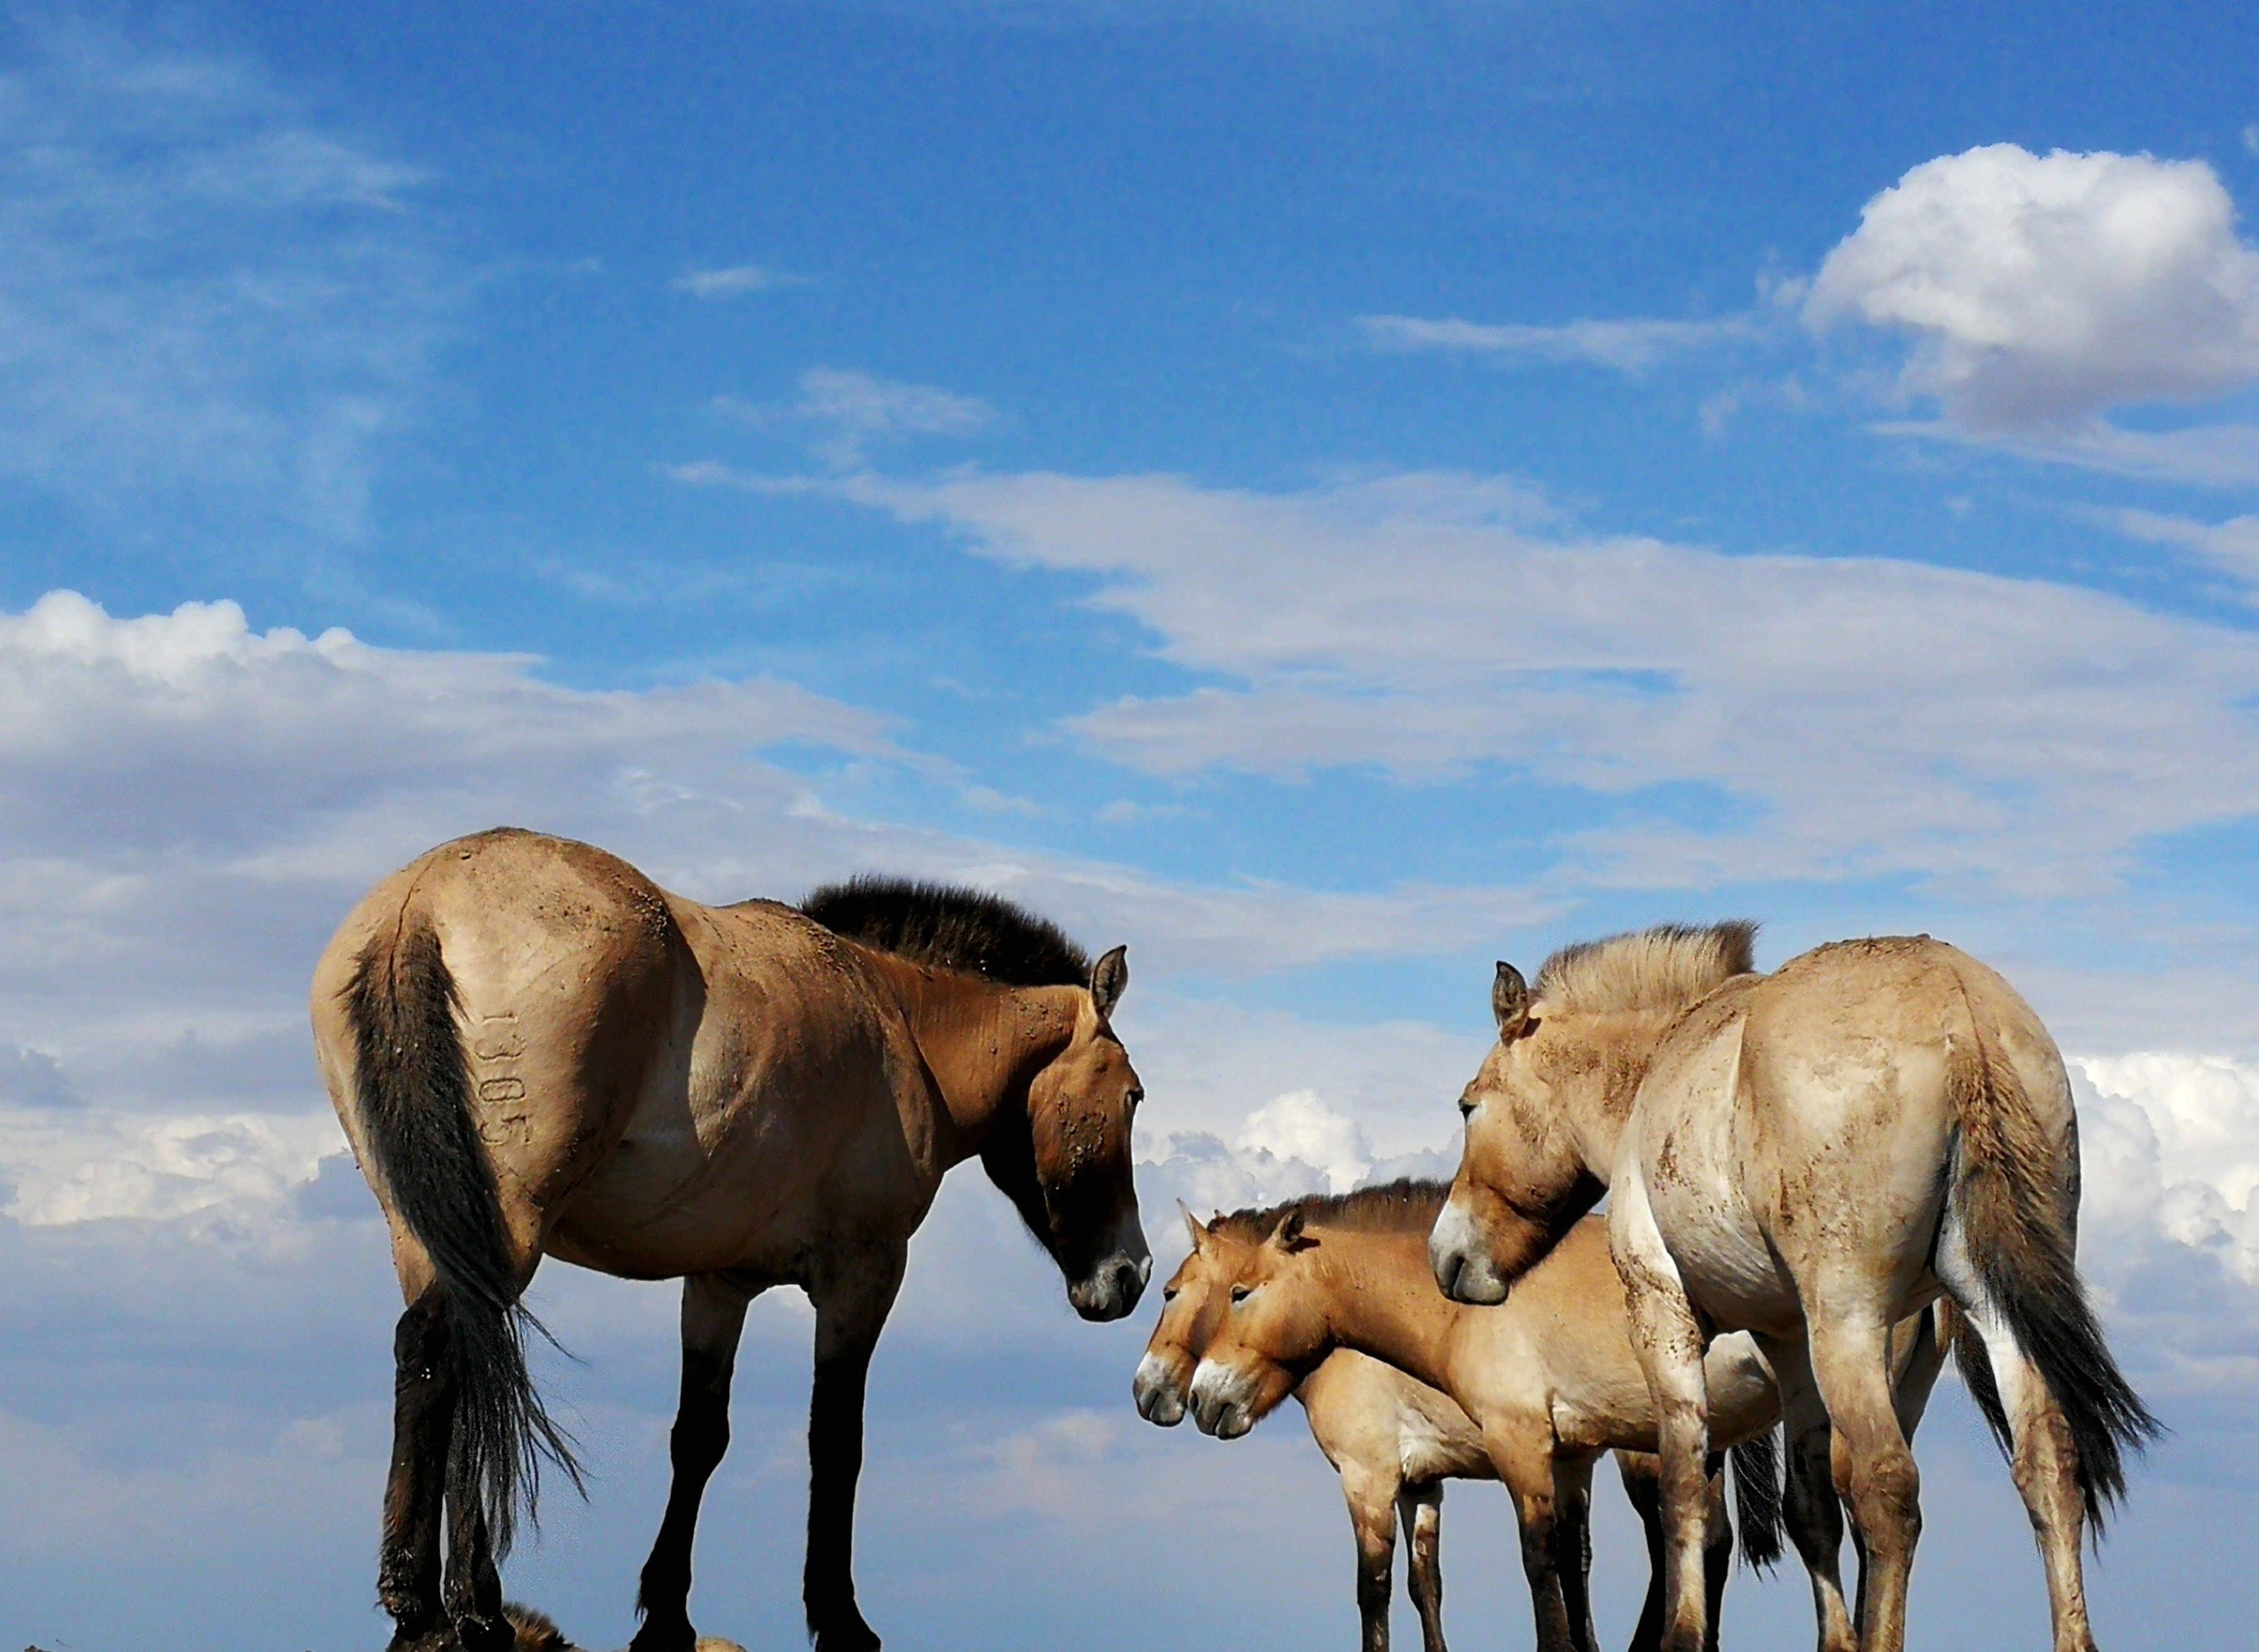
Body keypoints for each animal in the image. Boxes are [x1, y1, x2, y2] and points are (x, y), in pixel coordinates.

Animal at [311, 830, 1156, 1652]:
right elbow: (835, 1440)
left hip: (427, 1233)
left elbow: (698, 1438)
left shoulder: (719, 1283)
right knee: (462, 1355)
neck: (900, 1021)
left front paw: (666, 1617)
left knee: (433, 1360)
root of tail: (422, 903)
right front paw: (840, 1618)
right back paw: (465, 1606)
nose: (1132, 1272)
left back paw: (424, 1604)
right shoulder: (864, 1275)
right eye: (1132, 1096)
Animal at [1427, 930, 2150, 1652]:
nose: (1447, 1256)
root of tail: (1958, 1006)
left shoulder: (1662, 1312)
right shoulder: (1787, 1341)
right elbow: (1809, 1511)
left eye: (1467, 1106)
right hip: (1991, 1318)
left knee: (1887, 1489)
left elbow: (1683, 1493)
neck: (1656, 1069)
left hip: (1848, 1325)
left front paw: (1683, 1635)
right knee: (2048, 1471)